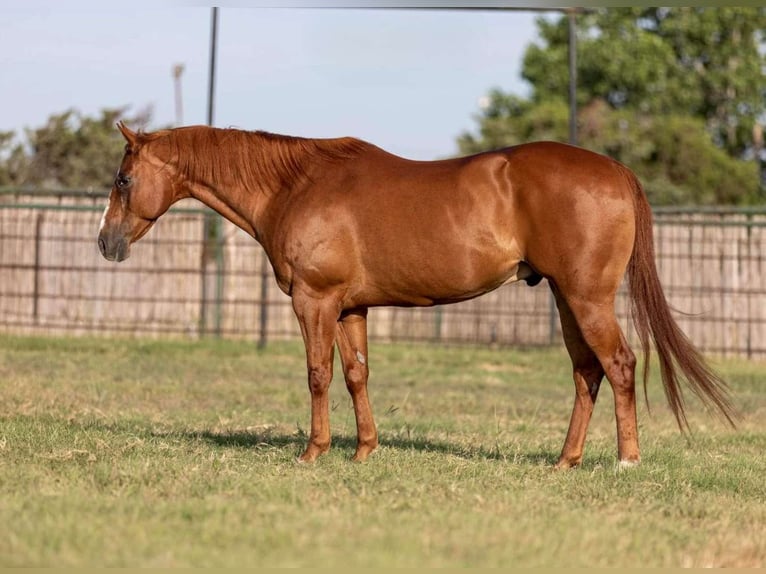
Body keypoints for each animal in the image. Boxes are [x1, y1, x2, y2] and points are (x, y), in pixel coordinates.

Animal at [98, 122, 735, 468]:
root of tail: (617, 172)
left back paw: (625, 460)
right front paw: (364, 450)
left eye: (123, 179)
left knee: (620, 365)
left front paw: (313, 451)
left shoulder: (315, 301)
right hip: (566, 299)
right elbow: (356, 374)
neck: (294, 185)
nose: (106, 242)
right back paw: (565, 461)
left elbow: (318, 375)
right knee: (587, 372)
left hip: (587, 298)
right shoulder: (350, 307)